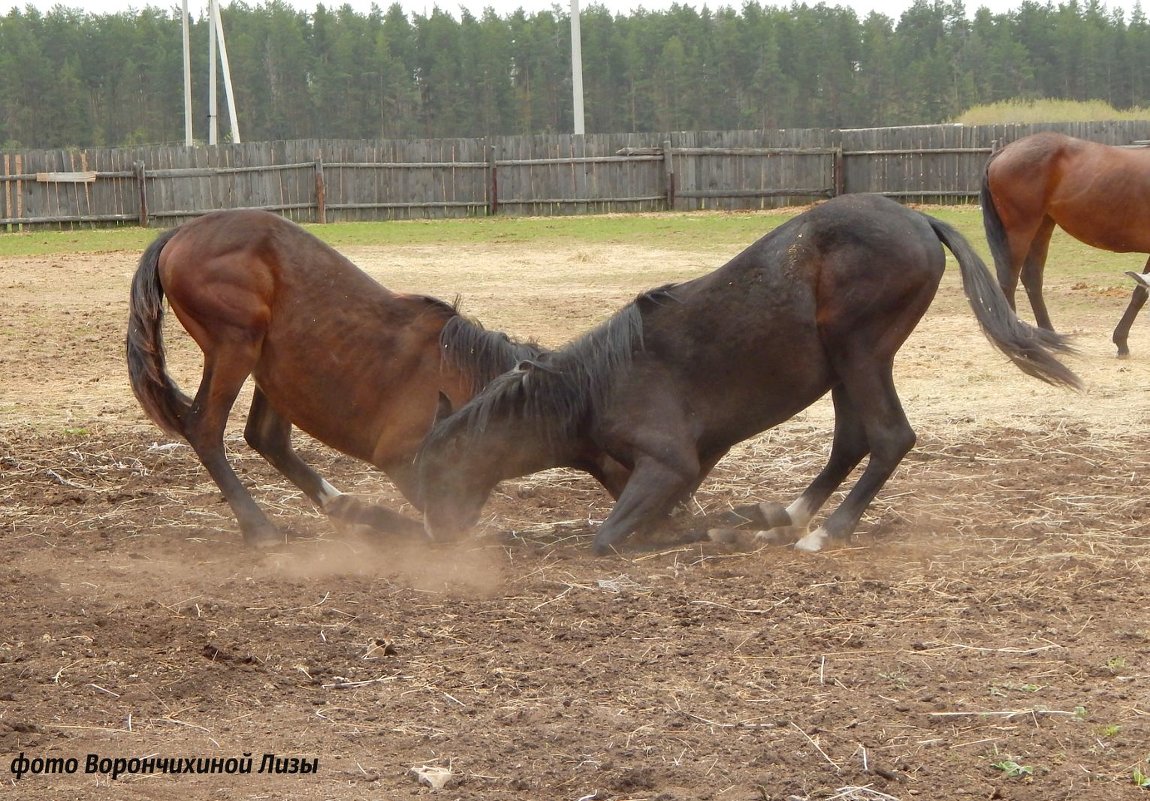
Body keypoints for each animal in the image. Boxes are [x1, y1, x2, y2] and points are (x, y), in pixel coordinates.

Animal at [128, 208, 630, 544]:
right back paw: (261, 528)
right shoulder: (405, 458)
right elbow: (443, 522)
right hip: (236, 347)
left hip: (276, 366)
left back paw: (340, 506)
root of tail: (179, 234)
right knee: (205, 429)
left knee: (266, 437)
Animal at [416, 194, 1076, 556]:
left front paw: (715, 531)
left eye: (439, 473)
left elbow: (612, 538)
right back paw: (787, 516)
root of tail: (918, 220)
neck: (591, 390)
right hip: (846, 366)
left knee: (889, 438)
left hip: (861, 353)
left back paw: (823, 531)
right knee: (852, 441)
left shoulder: (670, 465)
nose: (436, 535)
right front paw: (726, 524)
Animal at [979, 131, 1150, 353]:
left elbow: (1140, 291)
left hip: (1042, 227)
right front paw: (1121, 341)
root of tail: (1004, 151)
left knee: (1032, 278)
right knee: (1008, 280)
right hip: (1020, 230)